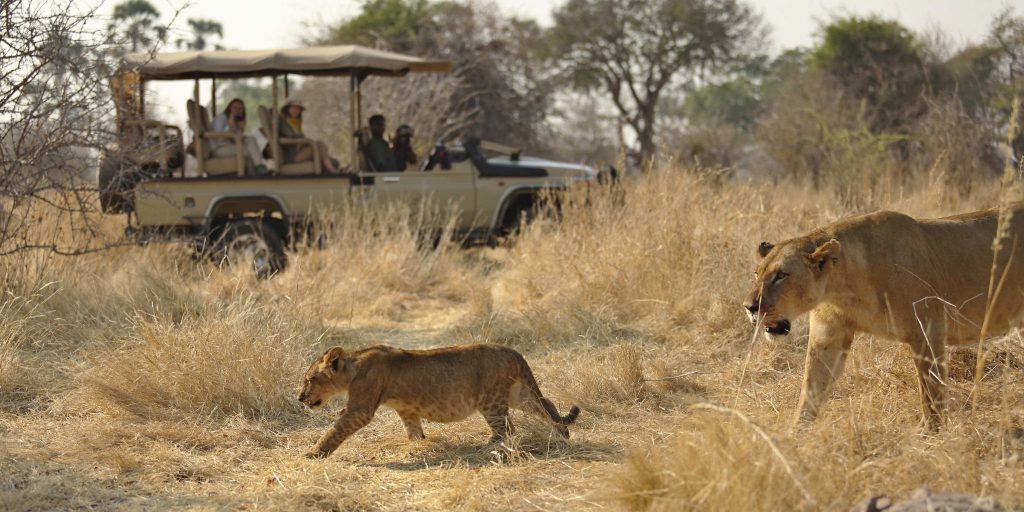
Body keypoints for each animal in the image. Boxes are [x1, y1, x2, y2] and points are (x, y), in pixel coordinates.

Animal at [298, 344, 581, 458]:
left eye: (309, 380)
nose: (300, 398)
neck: (353, 367)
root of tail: (514, 351)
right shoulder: (407, 410)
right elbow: (413, 431)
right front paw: (417, 447)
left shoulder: (360, 409)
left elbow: (334, 431)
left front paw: (313, 453)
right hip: (518, 395)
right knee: (547, 406)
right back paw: (562, 434)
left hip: (491, 401)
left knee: (507, 428)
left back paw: (488, 447)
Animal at [743, 204, 1024, 431]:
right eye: (757, 274)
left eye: (781, 275)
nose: (749, 307)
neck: (842, 287)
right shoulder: (828, 337)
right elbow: (811, 387)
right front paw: (794, 436)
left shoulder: (928, 330)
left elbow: (930, 391)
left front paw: (930, 434)